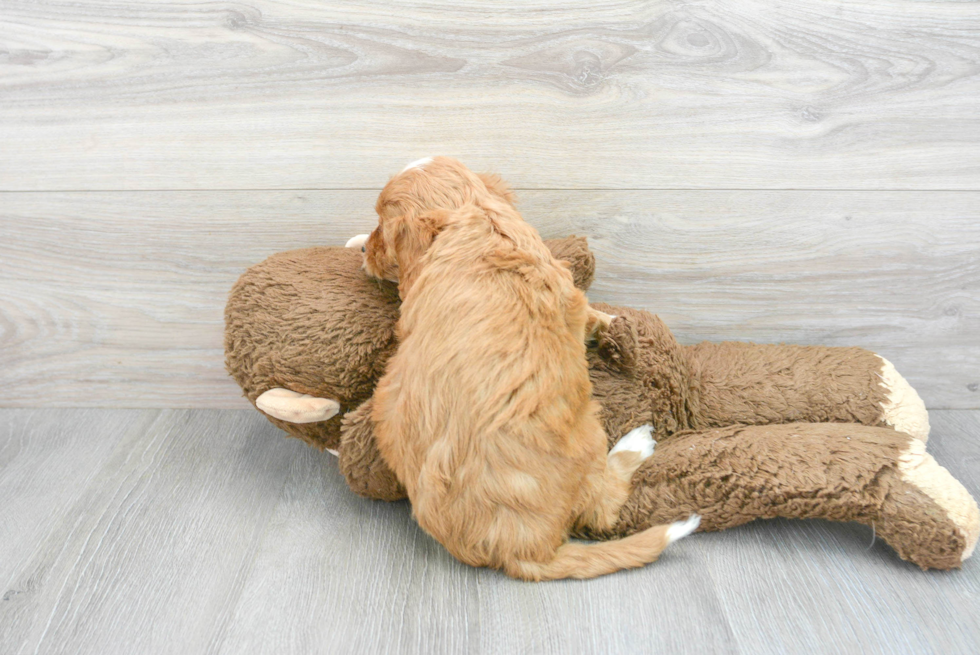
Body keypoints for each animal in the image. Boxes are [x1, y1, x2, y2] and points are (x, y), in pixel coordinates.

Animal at [362, 158, 696, 580]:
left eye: (380, 224)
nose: (362, 248)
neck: (479, 217)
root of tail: (524, 550)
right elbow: (587, 313)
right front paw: (610, 325)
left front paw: (612, 326)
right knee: (603, 509)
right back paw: (636, 442)